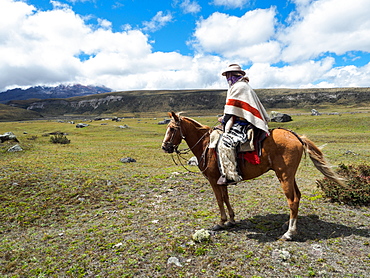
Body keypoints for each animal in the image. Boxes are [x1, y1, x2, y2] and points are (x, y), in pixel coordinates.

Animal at [160, 112, 346, 240]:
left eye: (172, 129)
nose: (165, 147)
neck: (206, 145)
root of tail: (295, 136)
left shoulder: (213, 180)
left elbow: (219, 200)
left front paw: (220, 223)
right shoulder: (222, 180)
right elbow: (226, 198)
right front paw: (231, 220)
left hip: (284, 176)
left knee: (292, 200)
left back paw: (289, 233)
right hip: (290, 176)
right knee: (297, 197)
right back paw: (288, 224)